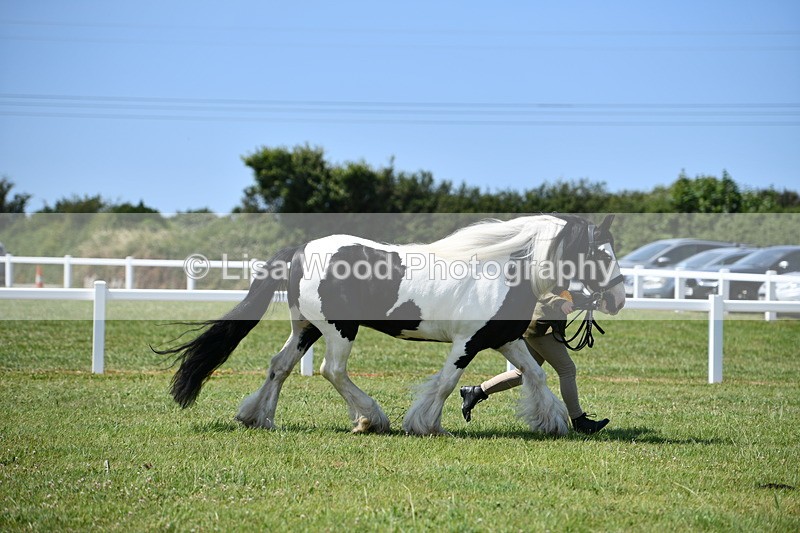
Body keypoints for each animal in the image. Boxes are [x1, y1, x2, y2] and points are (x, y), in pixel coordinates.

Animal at [156, 214, 625, 436]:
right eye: (601, 253)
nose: (619, 298)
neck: (500, 269)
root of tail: (300, 249)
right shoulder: (467, 342)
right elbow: (445, 382)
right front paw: (425, 423)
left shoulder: (505, 339)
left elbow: (534, 376)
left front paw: (553, 422)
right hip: (339, 329)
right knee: (332, 370)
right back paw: (370, 419)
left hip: (307, 327)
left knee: (280, 365)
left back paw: (261, 418)